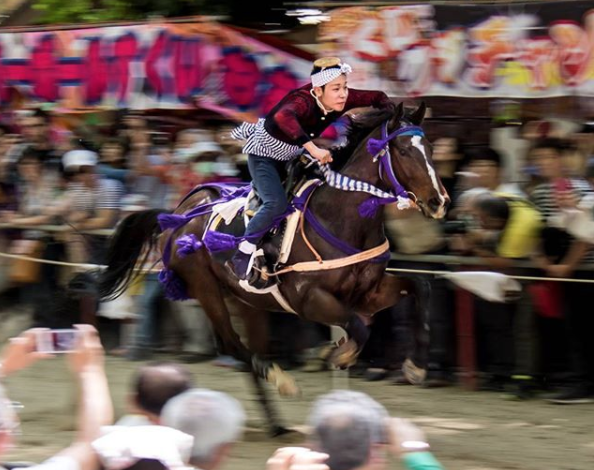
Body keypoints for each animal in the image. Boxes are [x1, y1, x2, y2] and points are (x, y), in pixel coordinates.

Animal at [98, 103, 448, 434]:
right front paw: (339, 355)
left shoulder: (368, 293)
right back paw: (283, 381)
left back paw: (276, 422)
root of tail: (175, 215)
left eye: (430, 148)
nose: (439, 201)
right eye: (403, 150)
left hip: (248, 300)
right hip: (205, 287)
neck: (342, 218)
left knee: (250, 348)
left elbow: (421, 289)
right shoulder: (309, 299)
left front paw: (415, 366)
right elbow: (358, 327)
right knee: (231, 344)